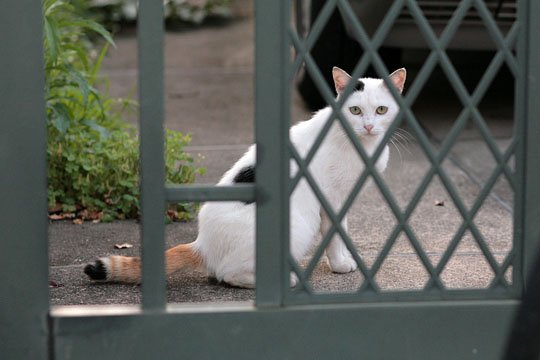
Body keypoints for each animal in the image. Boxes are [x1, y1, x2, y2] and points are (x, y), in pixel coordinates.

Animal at [84, 66, 404, 288]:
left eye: (381, 110)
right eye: (355, 110)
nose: (368, 126)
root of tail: (203, 242)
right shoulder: (332, 200)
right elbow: (336, 234)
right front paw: (340, 264)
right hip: (297, 225)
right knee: (228, 274)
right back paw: (284, 279)